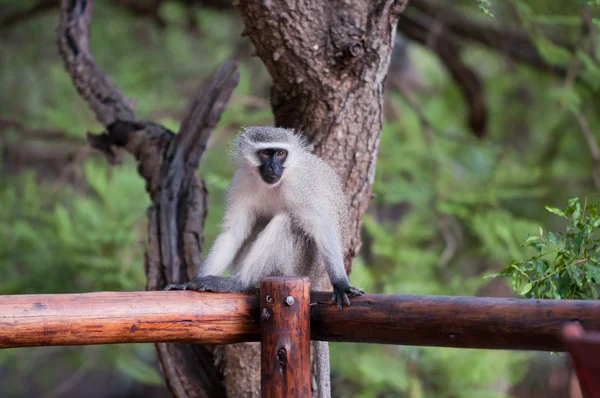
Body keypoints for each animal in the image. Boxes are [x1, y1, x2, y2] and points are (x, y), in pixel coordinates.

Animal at [165, 125, 366, 398]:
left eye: (280, 153)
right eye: (265, 153)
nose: (273, 167)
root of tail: (317, 278)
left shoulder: (299, 188)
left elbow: (320, 226)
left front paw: (342, 284)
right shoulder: (241, 182)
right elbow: (234, 232)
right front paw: (192, 281)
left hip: (300, 265)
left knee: (287, 221)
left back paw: (239, 283)